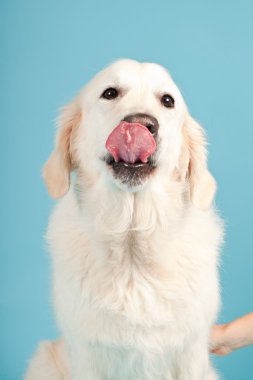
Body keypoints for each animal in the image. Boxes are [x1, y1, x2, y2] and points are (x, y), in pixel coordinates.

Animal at [25, 59, 223, 380]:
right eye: (110, 93)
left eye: (167, 100)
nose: (142, 123)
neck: (132, 244)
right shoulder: (87, 356)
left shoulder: (191, 354)